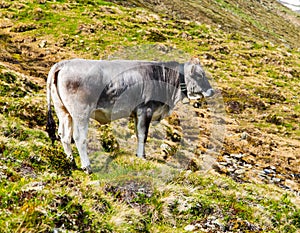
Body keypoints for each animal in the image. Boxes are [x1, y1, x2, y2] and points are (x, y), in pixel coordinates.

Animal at [45, 58, 214, 173]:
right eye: (200, 75)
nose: (211, 91)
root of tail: (64, 64)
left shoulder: (136, 113)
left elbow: (138, 134)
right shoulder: (146, 109)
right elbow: (143, 135)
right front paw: (142, 156)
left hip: (63, 111)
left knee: (64, 135)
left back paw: (71, 162)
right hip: (80, 113)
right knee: (79, 138)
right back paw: (87, 166)